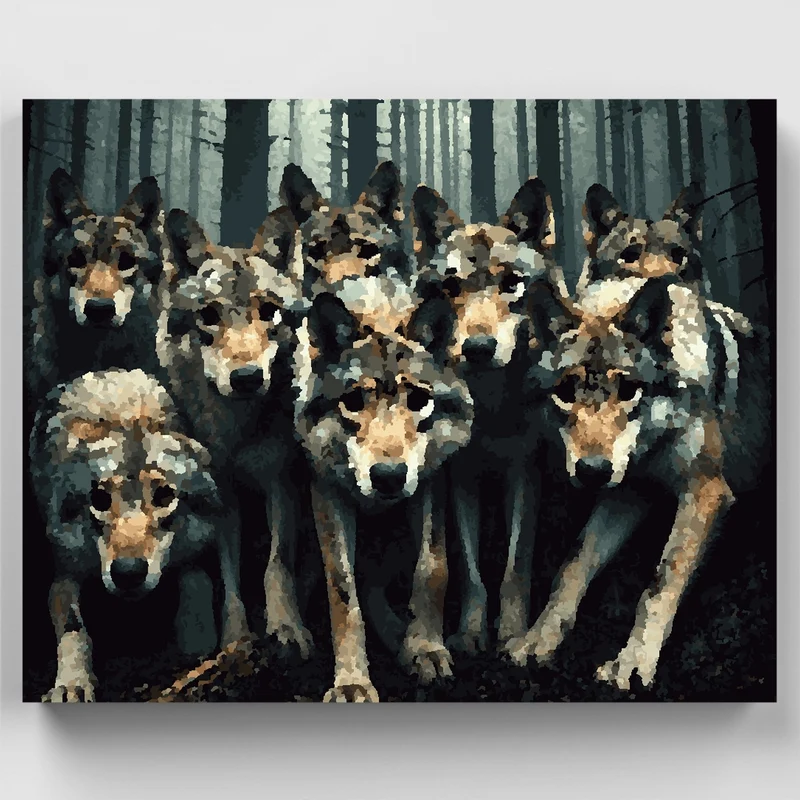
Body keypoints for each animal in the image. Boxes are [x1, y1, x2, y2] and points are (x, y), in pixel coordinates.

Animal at [31, 369, 223, 702]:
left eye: (164, 495)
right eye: (99, 499)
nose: (128, 573)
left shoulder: (194, 543)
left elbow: (197, 577)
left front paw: (196, 633)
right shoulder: (65, 572)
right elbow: (72, 628)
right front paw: (72, 683)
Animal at [160, 206, 313, 658]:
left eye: (270, 312)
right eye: (209, 316)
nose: (247, 378)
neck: (238, 431)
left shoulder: (281, 481)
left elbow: (276, 565)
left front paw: (286, 627)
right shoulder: (224, 496)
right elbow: (232, 581)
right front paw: (236, 639)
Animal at [294, 285, 473, 702]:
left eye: (419, 400)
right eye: (353, 402)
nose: (388, 477)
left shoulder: (429, 481)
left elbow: (432, 568)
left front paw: (425, 648)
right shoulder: (327, 489)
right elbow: (342, 590)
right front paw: (352, 682)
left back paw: (400, 640)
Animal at [410, 178, 569, 654]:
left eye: (512, 284)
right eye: (452, 287)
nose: (477, 348)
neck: (491, 407)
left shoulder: (525, 470)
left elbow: (516, 565)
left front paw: (514, 632)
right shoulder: (460, 476)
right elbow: (469, 568)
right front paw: (470, 631)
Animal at [505, 273, 770, 690]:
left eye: (628, 391)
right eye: (565, 393)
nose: (592, 471)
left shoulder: (705, 488)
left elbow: (660, 581)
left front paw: (631, 663)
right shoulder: (628, 493)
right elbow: (573, 564)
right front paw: (538, 640)